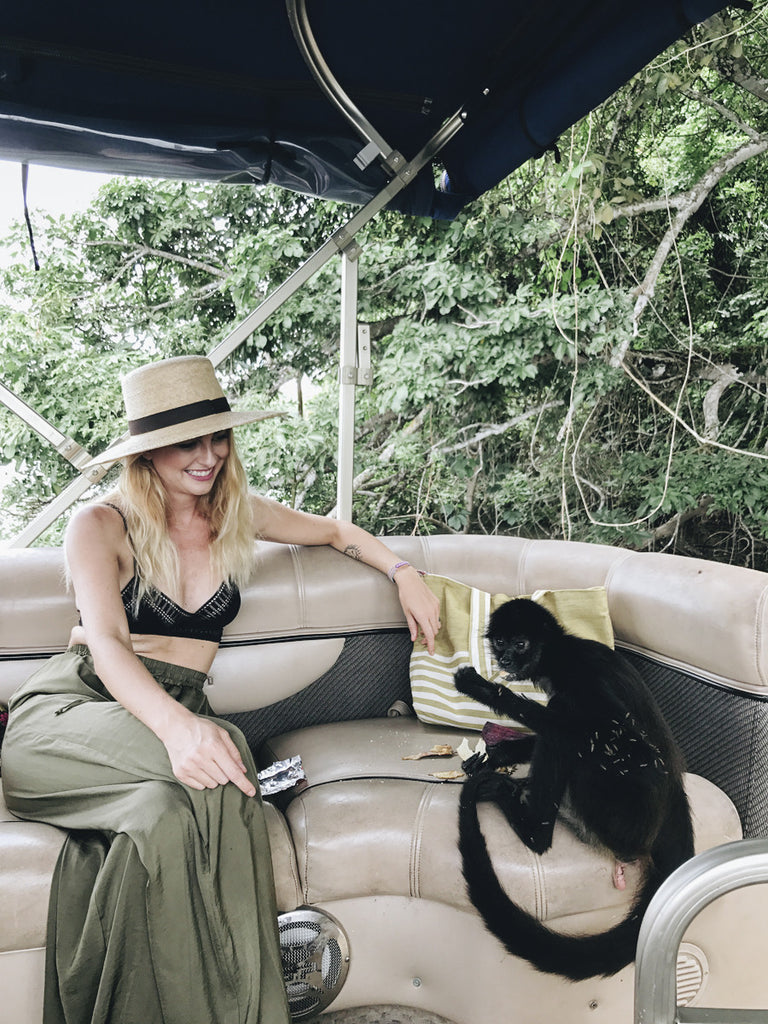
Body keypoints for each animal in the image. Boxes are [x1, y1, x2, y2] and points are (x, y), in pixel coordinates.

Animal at [454, 598, 696, 978]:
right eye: (501, 642)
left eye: (520, 643)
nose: (505, 659)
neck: (563, 655)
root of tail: (675, 794)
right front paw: (497, 754)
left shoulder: (583, 678)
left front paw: (483, 690)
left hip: (617, 821)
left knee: (567, 735)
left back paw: (530, 826)